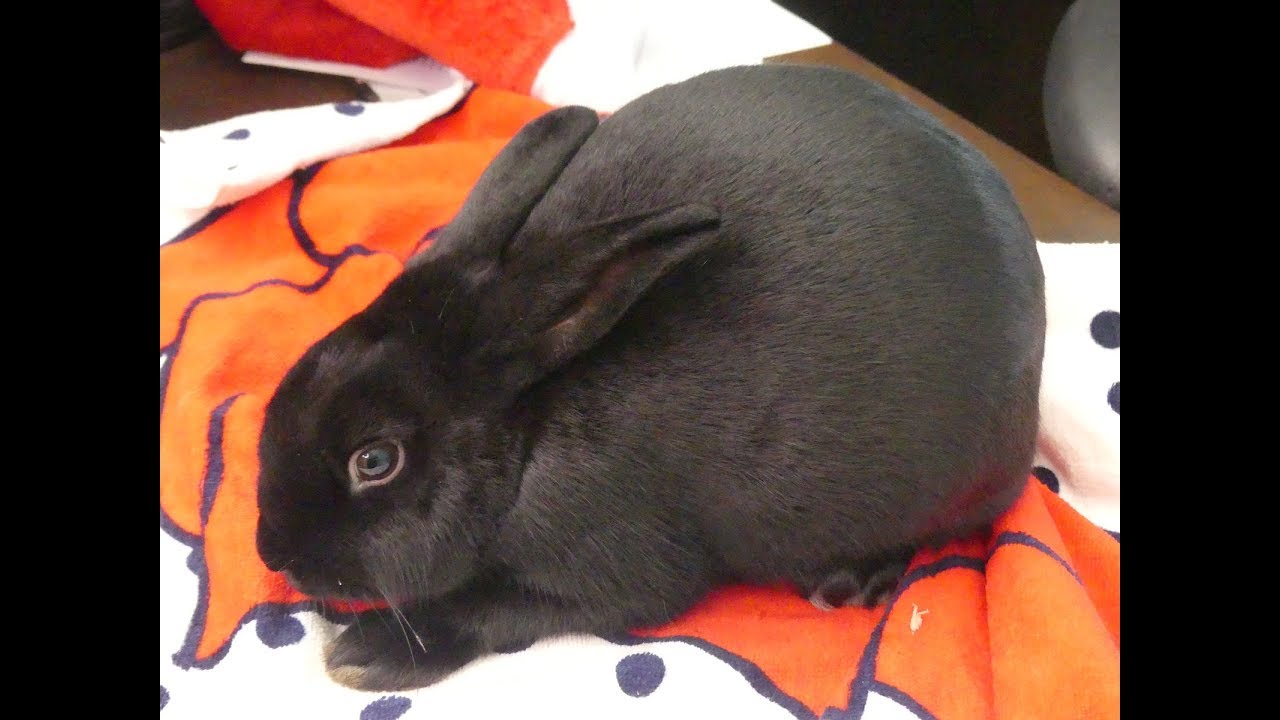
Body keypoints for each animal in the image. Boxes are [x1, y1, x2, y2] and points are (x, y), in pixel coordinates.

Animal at [255, 63, 1046, 692]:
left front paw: (364, 656)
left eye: (375, 461)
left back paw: (851, 581)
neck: (529, 436)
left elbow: (492, 610)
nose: (273, 552)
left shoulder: (615, 579)